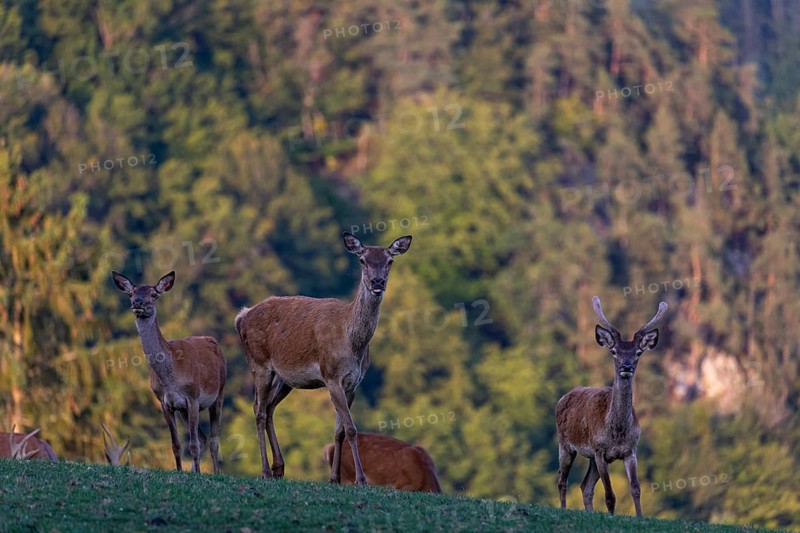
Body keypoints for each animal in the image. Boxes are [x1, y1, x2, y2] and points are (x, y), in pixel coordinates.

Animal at [112, 270, 227, 474]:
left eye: (153, 294)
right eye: (131, 294)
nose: (137, 303)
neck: (171, 378)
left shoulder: (193, 397)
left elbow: (193, 445)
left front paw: (198, 473)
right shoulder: (165, 403)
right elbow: (176, 444)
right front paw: (181, 471)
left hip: (219, 394)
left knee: (213, 440)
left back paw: (216, 473)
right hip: (183, 412)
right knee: (204, 438)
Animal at [235, 232, 412, 484]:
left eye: (390, 261)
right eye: (362, 260)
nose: (377, 283)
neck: (352, 342)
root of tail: (241, 317)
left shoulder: (352, 383)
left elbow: (339, 430)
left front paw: (335, 478)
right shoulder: (331, 376)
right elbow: (351, 429)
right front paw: (360, 479)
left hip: (284, 378)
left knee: (269, 408)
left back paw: (279, 468)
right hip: (259, 364)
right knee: (258, 410)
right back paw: (266, 471)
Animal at [556, 296, 668, 517]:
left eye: (638, 352)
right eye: (614, 351)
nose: (626, 366)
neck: (617, 432)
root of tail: (563, 397)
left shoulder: (630, 451)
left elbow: (636, 489)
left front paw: (640, 517)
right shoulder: (600, 451)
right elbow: (610, 496)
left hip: (590, 458)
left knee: (585, 486)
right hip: (565, 444)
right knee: (562, 480)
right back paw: (563, 508)